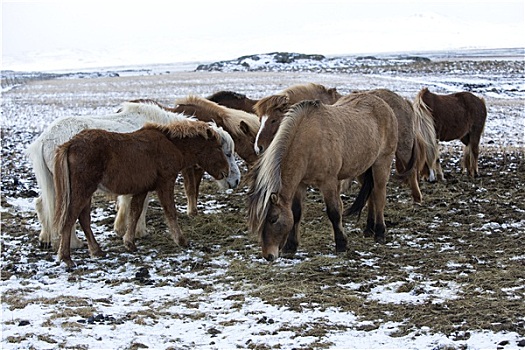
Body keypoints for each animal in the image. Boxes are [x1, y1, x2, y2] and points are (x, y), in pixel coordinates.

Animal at [26, 100, 239, 249]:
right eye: (227, 153)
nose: (235, 180)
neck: (165, 136)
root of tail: (44, 139)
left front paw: (126, 230)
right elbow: (139, 205)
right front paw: (138, 231)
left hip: (55, 183)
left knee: (44, 205)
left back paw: (49, 238)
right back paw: (73, 243)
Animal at [53, 120, 239, 268]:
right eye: (220, 149)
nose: (228, 174)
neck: (171, 145)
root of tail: (71, 144)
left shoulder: (142, 189)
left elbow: (135, 213)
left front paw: (129, 243)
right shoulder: (165, 183)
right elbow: (170, 211)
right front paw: (181, 240)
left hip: (86, 192)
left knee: (83, 218)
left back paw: (96, 250)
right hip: (83, 190)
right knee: (70, 218)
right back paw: (66, 257)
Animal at [246, 94, 398, 262]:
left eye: (273, 219)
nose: (268, 256)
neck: (308, 140)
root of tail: (384, 104)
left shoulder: (329, 183)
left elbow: (334, 212)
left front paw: (341, 244)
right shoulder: (300, 184)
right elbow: (296, 212)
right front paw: (290, 247)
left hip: (381, 163)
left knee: (379, 195)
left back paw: (379, 233)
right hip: (363, 168)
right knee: (371, 195)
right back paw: (369, 229)